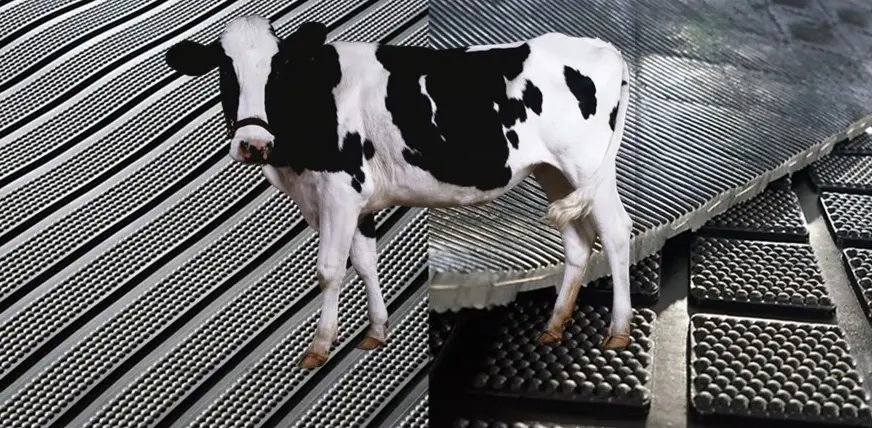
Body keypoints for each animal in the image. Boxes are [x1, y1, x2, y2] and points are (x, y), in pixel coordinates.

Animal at [165, 16, 632, 369]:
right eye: (225, 72)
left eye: (278, 71)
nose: (254, 145)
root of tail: (601, 46)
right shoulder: (353, 200)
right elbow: (365, 262)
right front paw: (375, 331)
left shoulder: (340, 191)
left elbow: (329, 270)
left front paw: (319, 348)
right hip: (554, 172)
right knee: (578, 239)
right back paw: (554, 326)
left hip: (587, 165)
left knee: (615, 232)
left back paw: (619, 332)